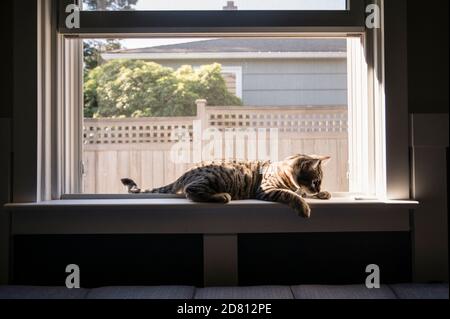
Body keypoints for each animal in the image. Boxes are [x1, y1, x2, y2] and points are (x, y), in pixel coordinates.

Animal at [121, 154, 332, 218]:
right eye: (315, 181)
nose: (318, 188)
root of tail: (187, 172)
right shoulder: (267, 190)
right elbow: (291, 195)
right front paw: (304, 206)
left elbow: (301, 193)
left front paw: (323, 194)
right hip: (215, 177)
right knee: (191, 192)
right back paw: (221, 196)